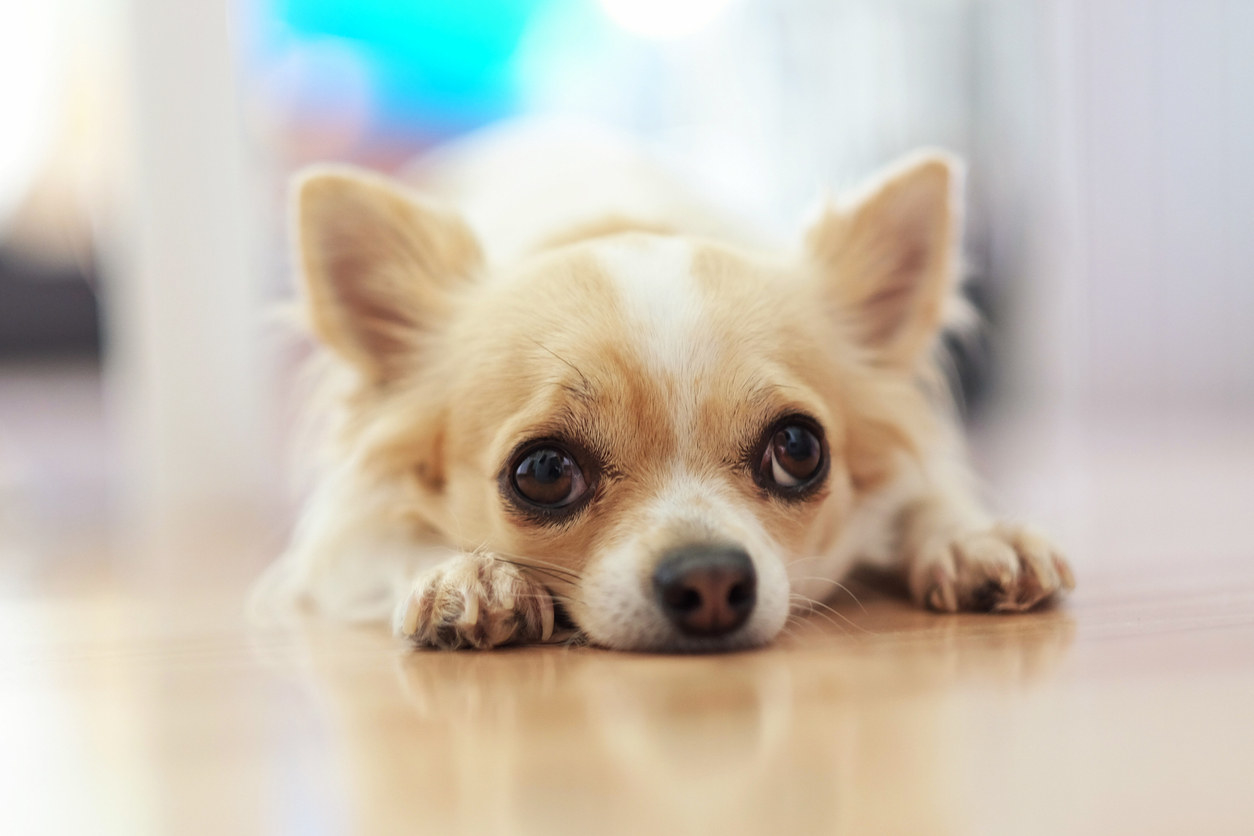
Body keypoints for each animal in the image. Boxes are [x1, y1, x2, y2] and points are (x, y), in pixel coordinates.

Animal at [257, 124, 1078, 651]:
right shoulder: (344, 532)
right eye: (543, 471)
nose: (711, 581)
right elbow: (395, 538)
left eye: (799, 450)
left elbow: (924, 498)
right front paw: (463, 572)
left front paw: (972, 538)